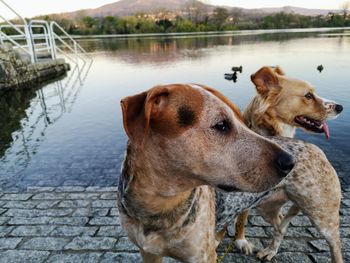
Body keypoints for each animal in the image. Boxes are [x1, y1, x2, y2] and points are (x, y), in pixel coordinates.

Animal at [117, 83, 292, 262]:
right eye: (221, 125)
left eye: (243, 122)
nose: (290, 161)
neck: (160, 205)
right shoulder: (149, 253)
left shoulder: (201, 256)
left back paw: (246, 242)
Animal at [234, 67, 344, 262]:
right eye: (308, 95)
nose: (340, 107)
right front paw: (240, 240)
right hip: (268, 208)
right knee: (281, 226)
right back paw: (271, 249)